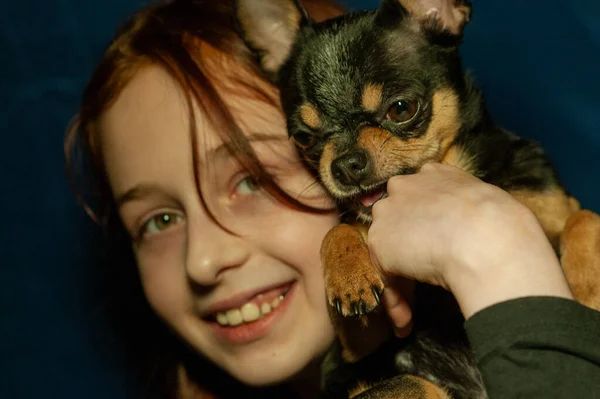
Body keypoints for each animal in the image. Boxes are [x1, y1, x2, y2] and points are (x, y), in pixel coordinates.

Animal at [237, 1, 600, 398]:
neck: (461, 171)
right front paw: (348, 272)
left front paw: (589, 290)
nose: (344, 165)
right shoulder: (358, 347)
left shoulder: (558, 206)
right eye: (304, 138)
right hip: (409, 383)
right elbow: (340, 229)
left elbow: (584, 219)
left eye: (401, 108)